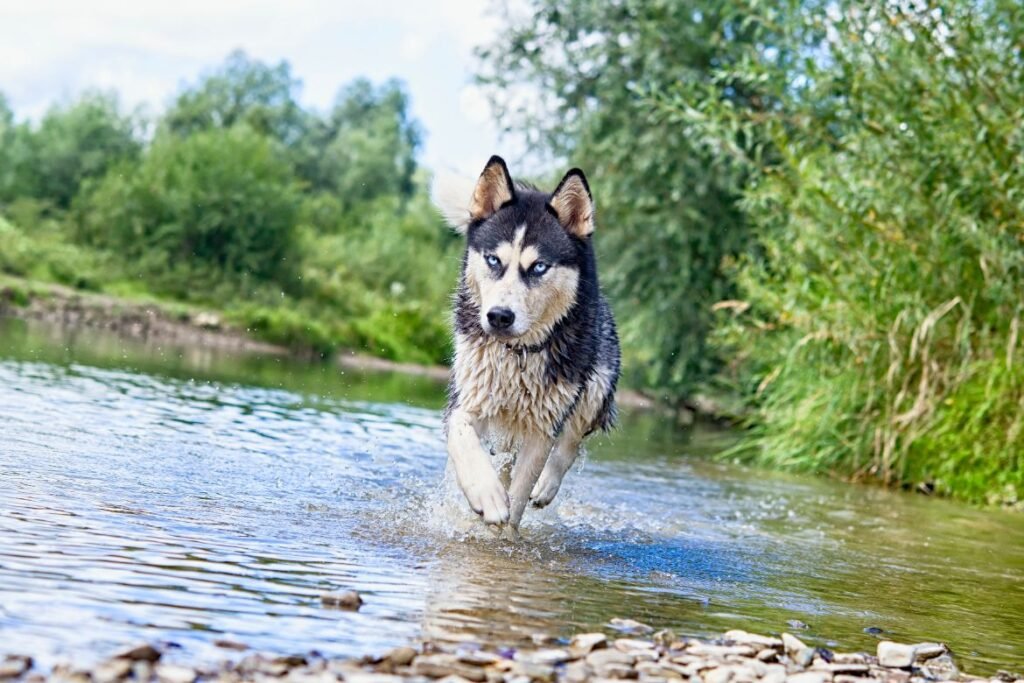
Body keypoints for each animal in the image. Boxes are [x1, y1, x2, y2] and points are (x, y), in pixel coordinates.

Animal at [430, 154, 618, 532]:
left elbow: (520, 492)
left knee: (570, 441)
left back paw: (546, 485)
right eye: (493, 260)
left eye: (539, 267)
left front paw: (506, 531)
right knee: (503, 460)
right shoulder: (467, 398)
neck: (517, 356)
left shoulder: (543, 428)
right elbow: (463, 438)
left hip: (595, 386)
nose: (499, 316)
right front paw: (486, 495)